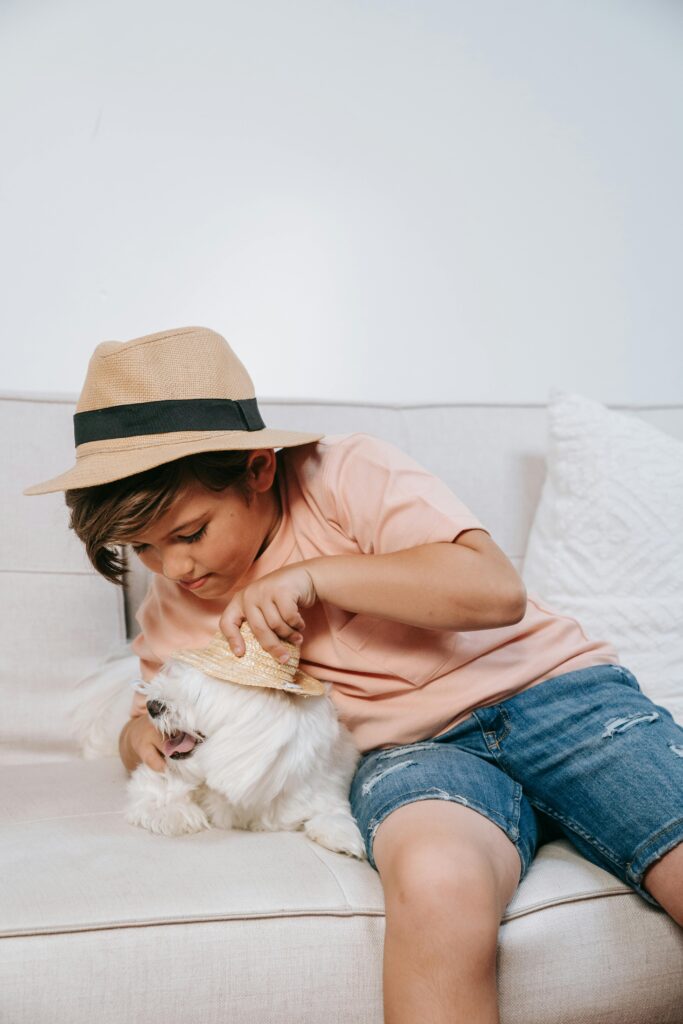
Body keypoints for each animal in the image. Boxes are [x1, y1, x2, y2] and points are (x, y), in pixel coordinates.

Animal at [122, 655, 368, 856]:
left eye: (198, 695)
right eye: (175, 679)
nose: (152, 706)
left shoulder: (319, 787)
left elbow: (331, 811)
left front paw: (342, 835)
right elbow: (158, 794)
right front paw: (174, 813)